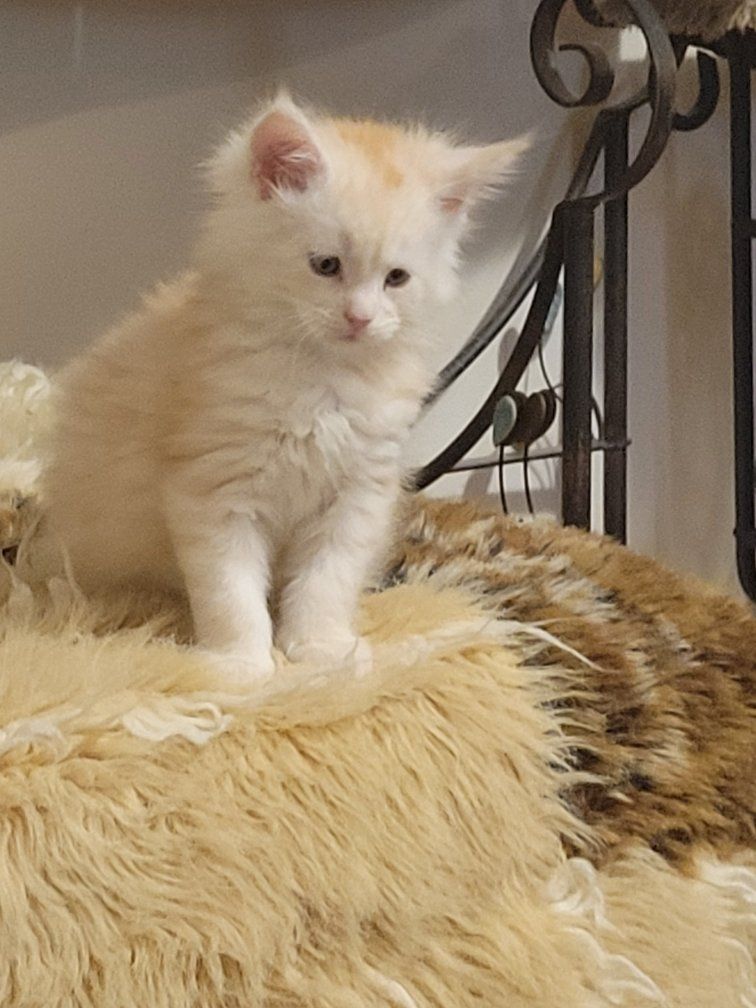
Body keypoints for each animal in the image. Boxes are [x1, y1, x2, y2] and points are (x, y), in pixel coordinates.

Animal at [42, 92, 525, 684]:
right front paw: (241, 666)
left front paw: (320, 650)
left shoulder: (356, 497)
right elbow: (230, 594)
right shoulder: (215, 491)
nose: (360, 319)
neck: (322, 382)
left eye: (396, 279)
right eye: (326, 265)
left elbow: (325, 584)